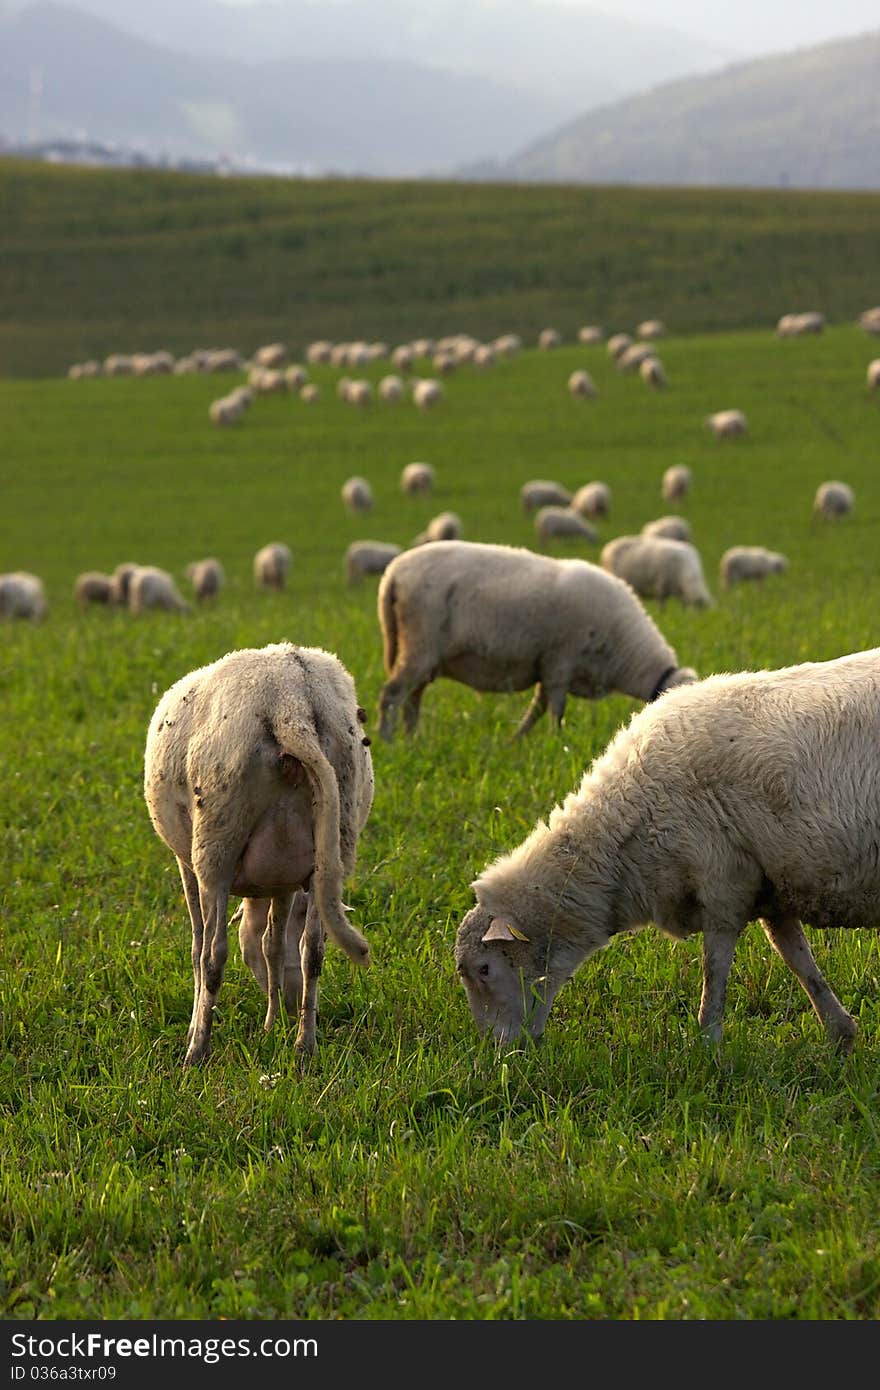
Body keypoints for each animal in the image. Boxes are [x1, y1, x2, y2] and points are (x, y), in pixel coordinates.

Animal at [143, 639, 375, 1061]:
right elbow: (273, 945)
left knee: (212, 955)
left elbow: (198, 945)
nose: (290, 1003)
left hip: (216, 840)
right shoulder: (283, 879)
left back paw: (197, 1050)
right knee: (313, 951)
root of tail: (290, 702)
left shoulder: (186, 865)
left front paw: (198, 1027)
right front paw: (272, 1024)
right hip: (333, 841)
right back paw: (304, 1046)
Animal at [375, 536, 697, 745]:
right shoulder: (560, 660)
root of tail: (393, 573)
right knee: (393, 693)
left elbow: (538, 708)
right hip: (419, 643)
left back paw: (413, 738)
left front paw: (516, 739)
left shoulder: (548, 664)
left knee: (412, 697)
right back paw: (387, 739)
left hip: (424, 654)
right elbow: (555, 707)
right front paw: (556, 739)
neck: (624, 651)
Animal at [453, 642, 880, 1050]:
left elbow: (715, 968)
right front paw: (840, 1034)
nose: (501, 1051)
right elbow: (796, 958)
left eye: (484, 969)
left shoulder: (723, 883)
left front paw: (708, 1044)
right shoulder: (768, 884)